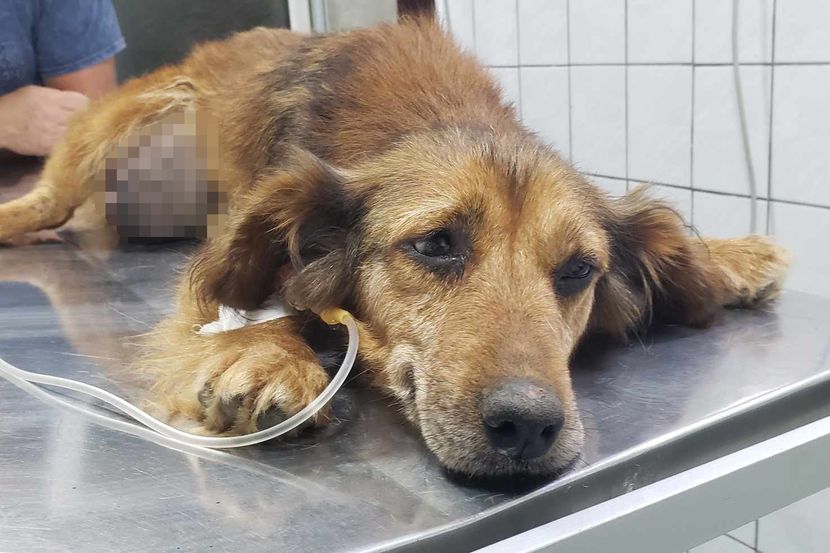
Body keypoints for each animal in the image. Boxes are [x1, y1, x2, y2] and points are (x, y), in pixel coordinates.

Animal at [0, 17, 790, 479]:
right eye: (436, 244)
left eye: (577, 270)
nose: (529, 425)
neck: (436, 110)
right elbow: (235, 308)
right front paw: (267, 355)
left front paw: (730, 256)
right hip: (120, 118)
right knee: (49, 197)